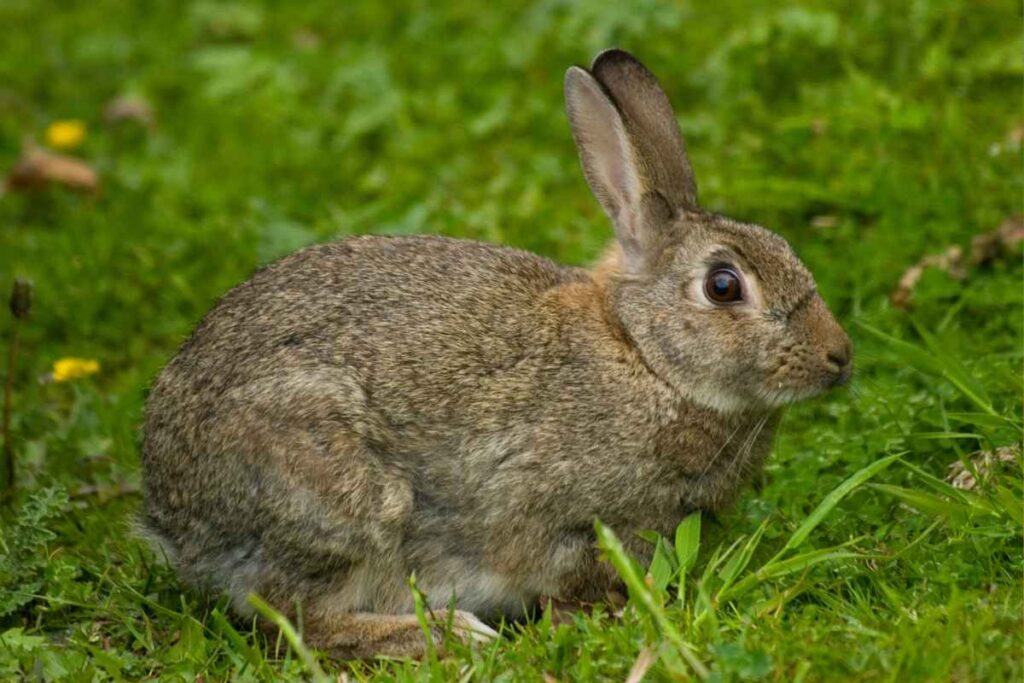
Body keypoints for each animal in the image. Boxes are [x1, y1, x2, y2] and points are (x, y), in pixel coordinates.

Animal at [141, 48, 851, 659]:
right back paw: (446, 634)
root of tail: (171, 516)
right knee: (295, 618)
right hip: (340, 497)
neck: (645, 357)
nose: (839, 357)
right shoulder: (556, 513)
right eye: (723, 286)